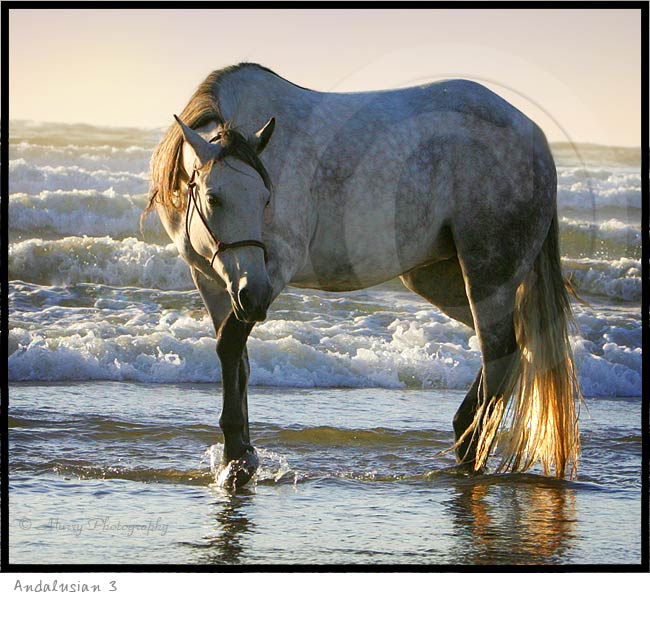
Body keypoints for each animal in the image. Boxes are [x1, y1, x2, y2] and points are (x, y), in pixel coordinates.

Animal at [145, 62, 580, 487]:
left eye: (266, 197)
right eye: (214, 198)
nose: (254, 296)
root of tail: (535, 141)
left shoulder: (273, 269)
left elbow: (231, 345)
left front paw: (236, 456)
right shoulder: (215, 281)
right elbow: (235, 357)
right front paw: (241, 455)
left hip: (488, 273)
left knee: (500, 354)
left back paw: (469, 453)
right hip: (440, 281)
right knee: (516, 347)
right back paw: (465, 440)